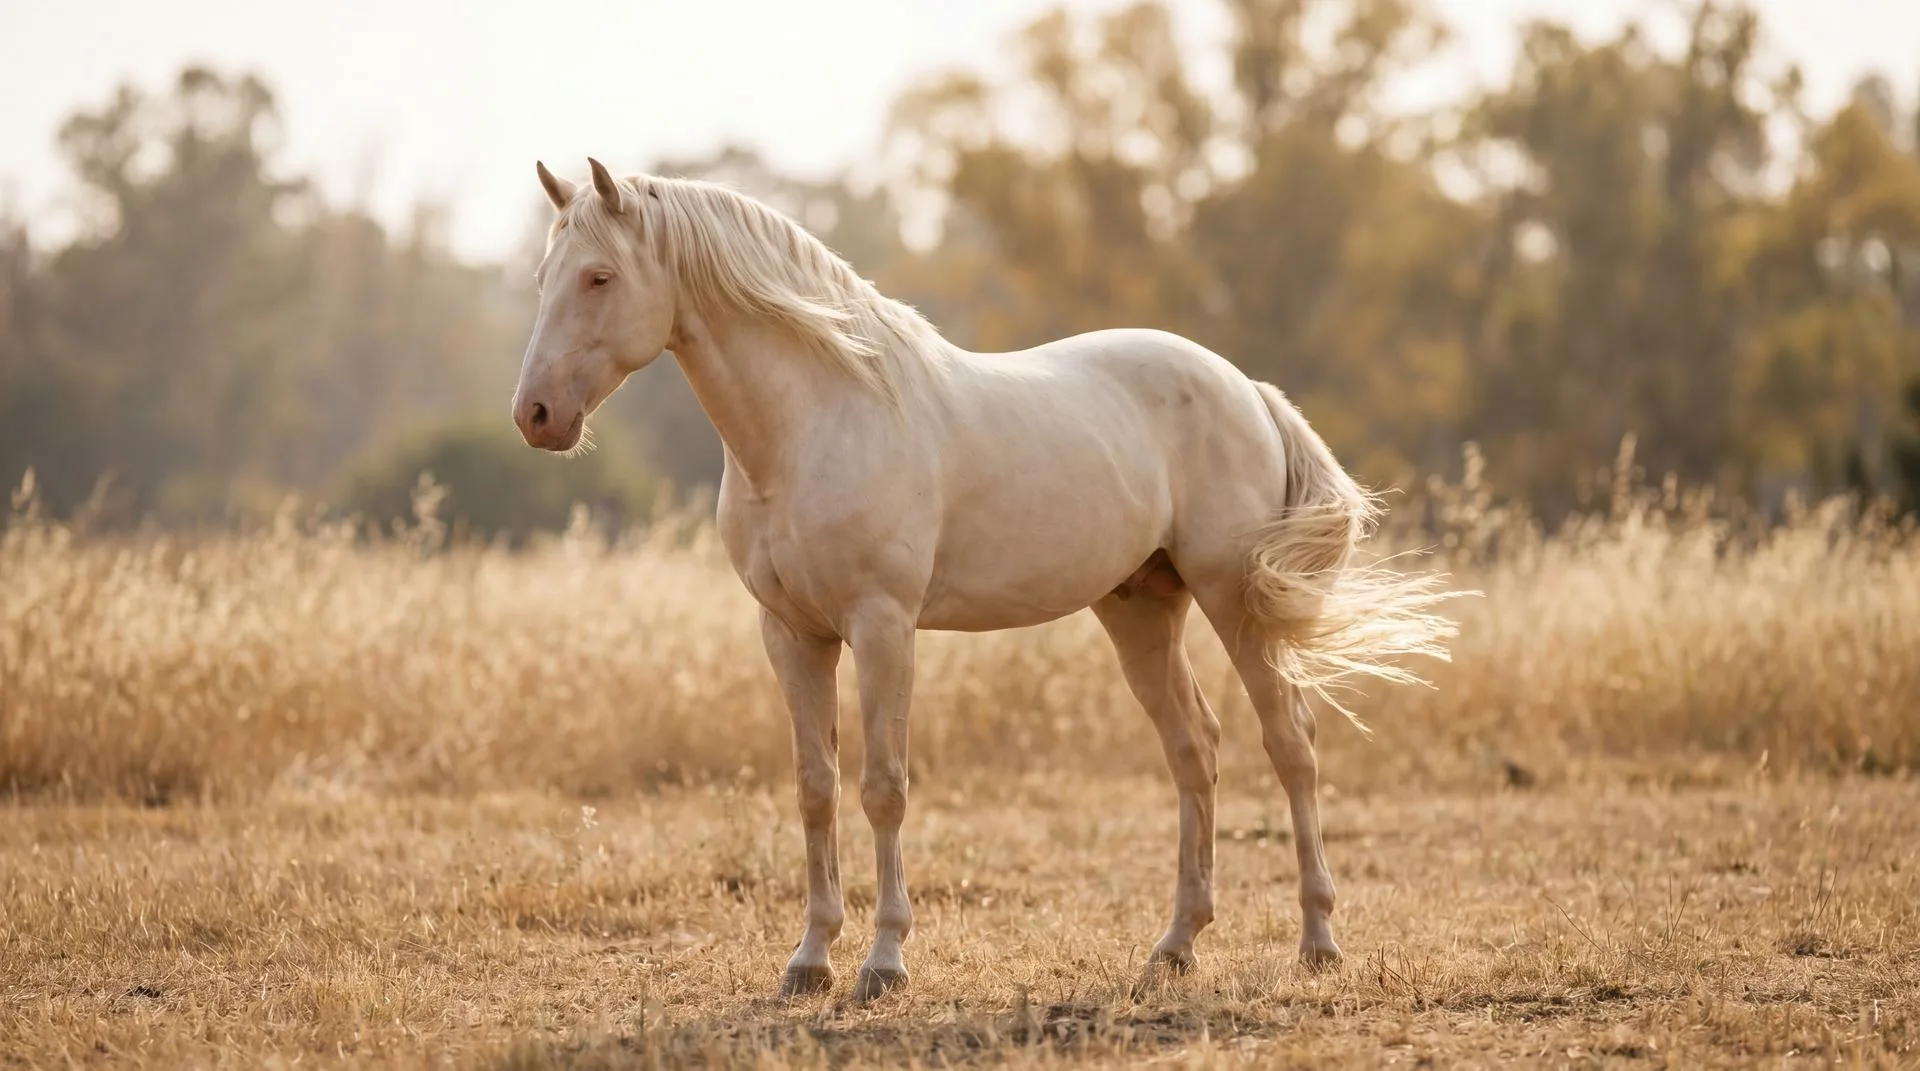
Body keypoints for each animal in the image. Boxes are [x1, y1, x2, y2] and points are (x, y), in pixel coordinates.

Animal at [510, 158, 1461, 1002]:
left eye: (599, 276)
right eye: (546, 276)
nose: (537, 416)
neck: (819, 419)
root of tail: (1245, 388)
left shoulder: (882, 626)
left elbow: (882, 787)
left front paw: (884, 962)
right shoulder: (792, 633)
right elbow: (816, 788)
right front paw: (810, 959)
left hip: (1234, 601)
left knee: (1289, 743)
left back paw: (1318, 941)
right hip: (1141, 609)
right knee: (1196, 748)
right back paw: (1176, 946)